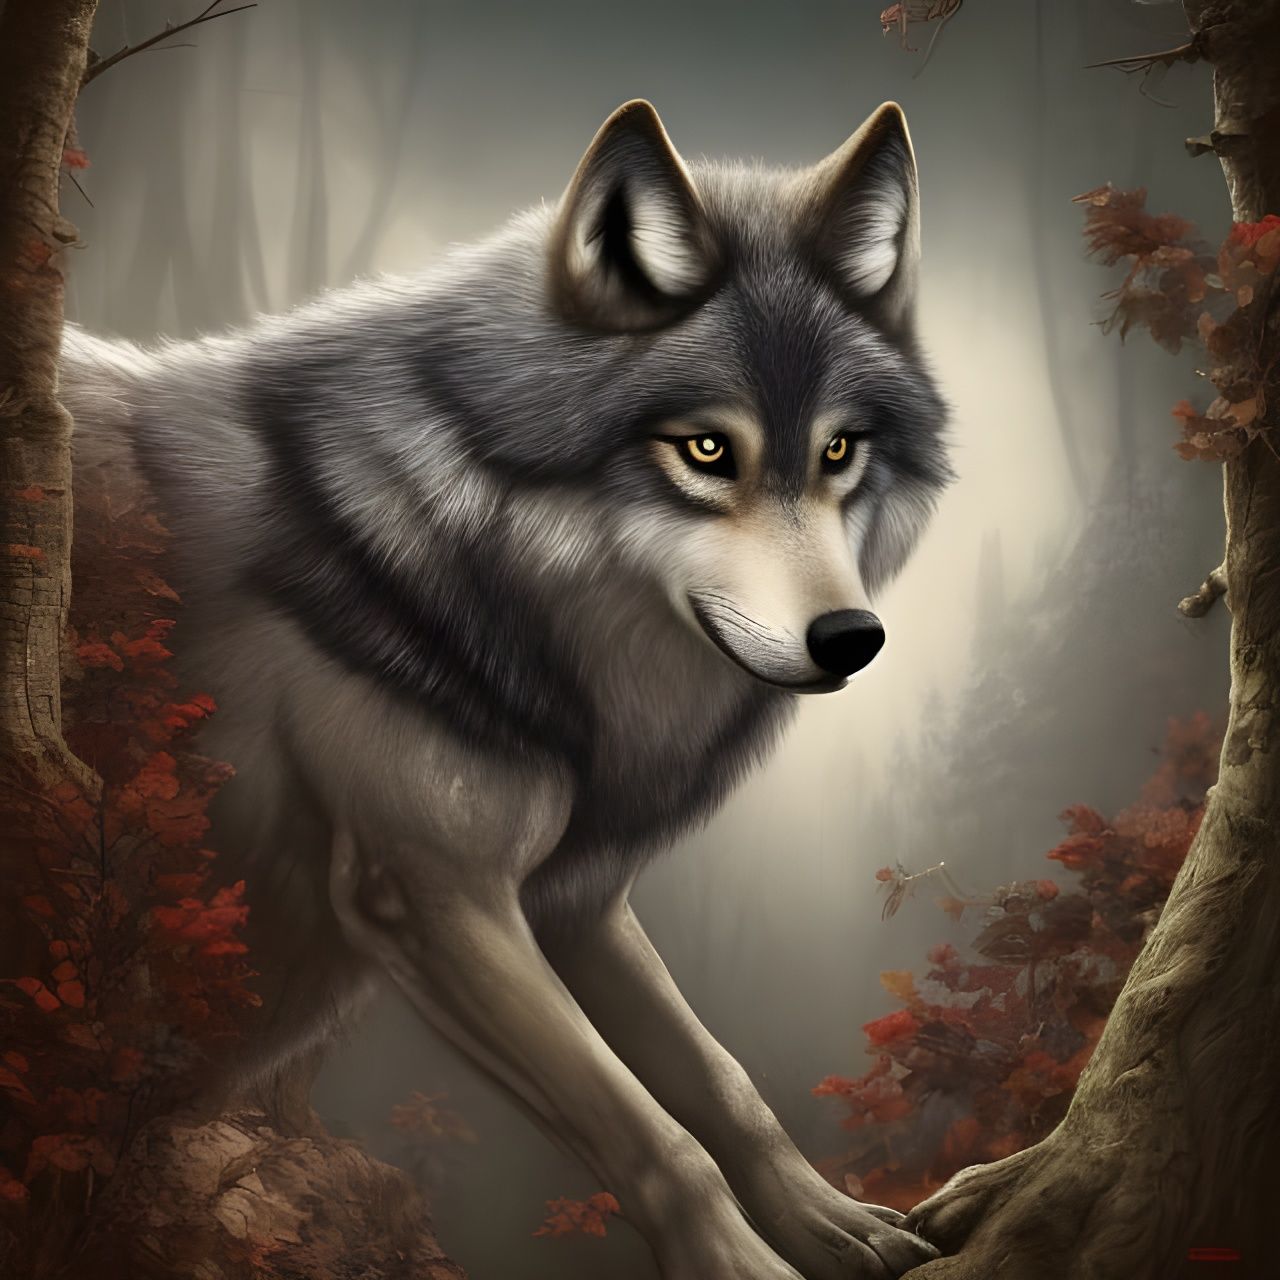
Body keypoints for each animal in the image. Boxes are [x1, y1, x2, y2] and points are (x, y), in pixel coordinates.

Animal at [63, 99, 951, 1278]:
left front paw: (837, 1224)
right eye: (705, 450)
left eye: (839, 449)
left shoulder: (578, 899)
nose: (853, 638)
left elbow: (725, 1087)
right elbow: (652, 1132)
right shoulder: (438, 897)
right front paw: (750, 1265)